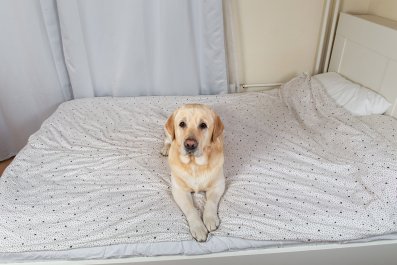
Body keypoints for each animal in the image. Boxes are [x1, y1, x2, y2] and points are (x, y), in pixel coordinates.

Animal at [160, 103, 223, 241]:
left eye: (203, 125)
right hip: (168, 133)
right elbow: (191, 209)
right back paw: (165, 148)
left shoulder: (218, 185)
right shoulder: (179, 191)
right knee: (167, 140)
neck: (194, 164)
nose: (190, 144)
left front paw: (210, 218)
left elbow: (210, 202)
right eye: (182, 124)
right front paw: (198, 228)